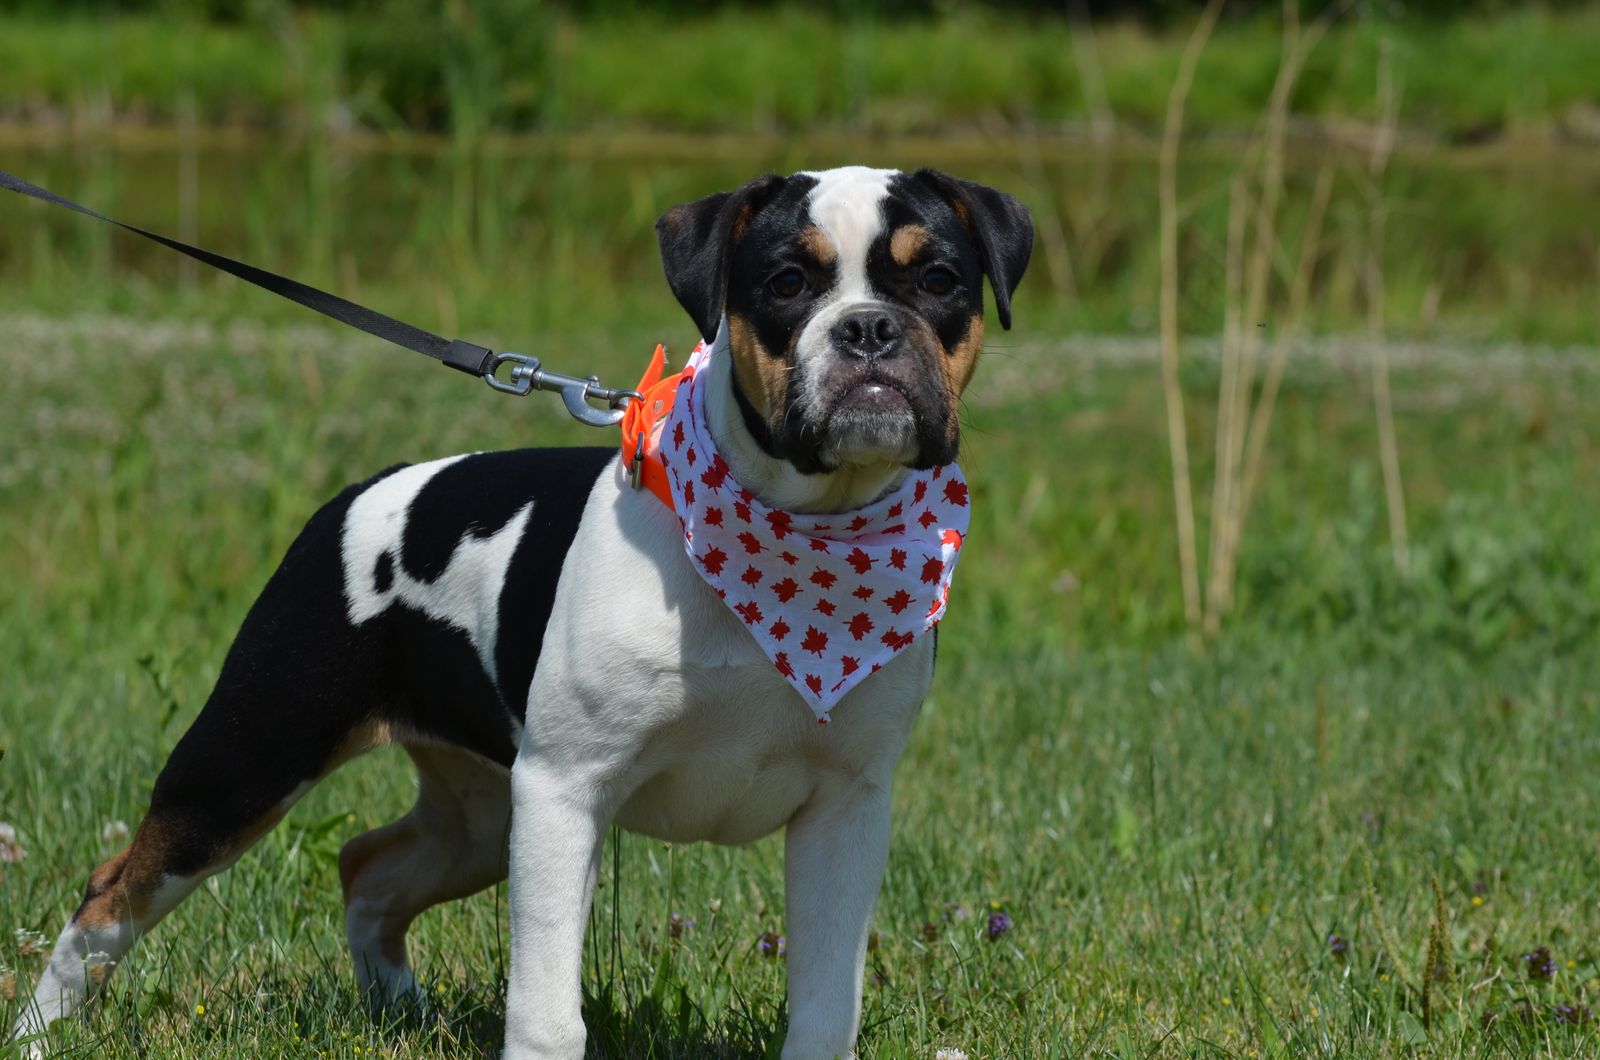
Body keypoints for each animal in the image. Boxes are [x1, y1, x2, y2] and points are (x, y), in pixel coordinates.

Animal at [11, 165, 1032, 1059]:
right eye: (787, 281)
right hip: (250, 761)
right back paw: (36, 1034)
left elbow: (825, 1005)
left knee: (368, 867)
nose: (868, 330)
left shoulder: (844, 810)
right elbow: (545, 1008)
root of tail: (358, 494)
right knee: (112, 893)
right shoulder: (566, 792)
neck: (803, 523)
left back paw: (401, 1010)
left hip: (479, 814)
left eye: (939, 279)